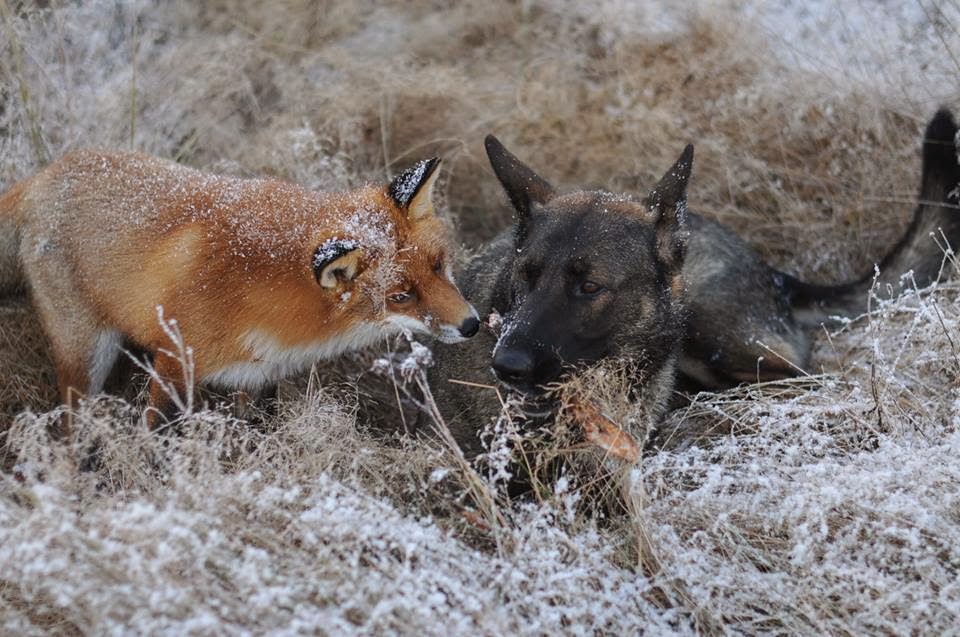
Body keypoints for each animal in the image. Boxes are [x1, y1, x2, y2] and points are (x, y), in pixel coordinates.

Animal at [0, 151, 480, 428]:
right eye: (401, 296)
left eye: (439, 267)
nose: (473, 325)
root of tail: (44, 176)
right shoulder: (175, 359)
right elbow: (155, 431)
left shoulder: (260, 377)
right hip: (85, 355)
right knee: (70, 425)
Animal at [426, 108, 960, 455]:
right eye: (525, 276)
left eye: (590, 287)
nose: (505, 365)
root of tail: (773, 273)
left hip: (711, 326)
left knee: (804, 377)